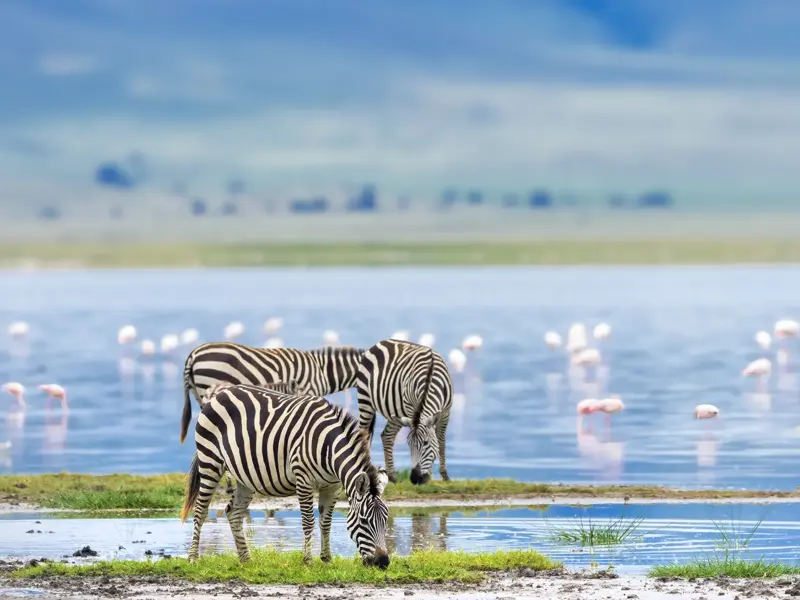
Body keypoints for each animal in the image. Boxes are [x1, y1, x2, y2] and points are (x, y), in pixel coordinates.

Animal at [180, 383, 391, 568]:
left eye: (386, 519)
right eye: (364, 521)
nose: (383, 562)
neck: (328, 448)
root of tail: (219, 394)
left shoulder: (333, 486)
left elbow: (325, 523)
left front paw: (326, 559)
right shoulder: (304, 480)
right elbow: (308, 522)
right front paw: (308, 561)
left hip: (244, 476)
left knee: (234, 512)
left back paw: (246, 559)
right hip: (210, 461)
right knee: (200, 510)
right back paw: (193, 558)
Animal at [356, 338, 454, 486]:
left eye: (426, 443)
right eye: (409, 445)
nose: (415, 479)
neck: (430, 378)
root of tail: (379, 343)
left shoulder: (445, 413)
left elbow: (441, 442)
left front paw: (444, 475)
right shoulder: (412, 410)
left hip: (395, 412)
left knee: (387, 436)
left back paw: (392, 477)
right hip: (365, 400)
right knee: (363, 434)